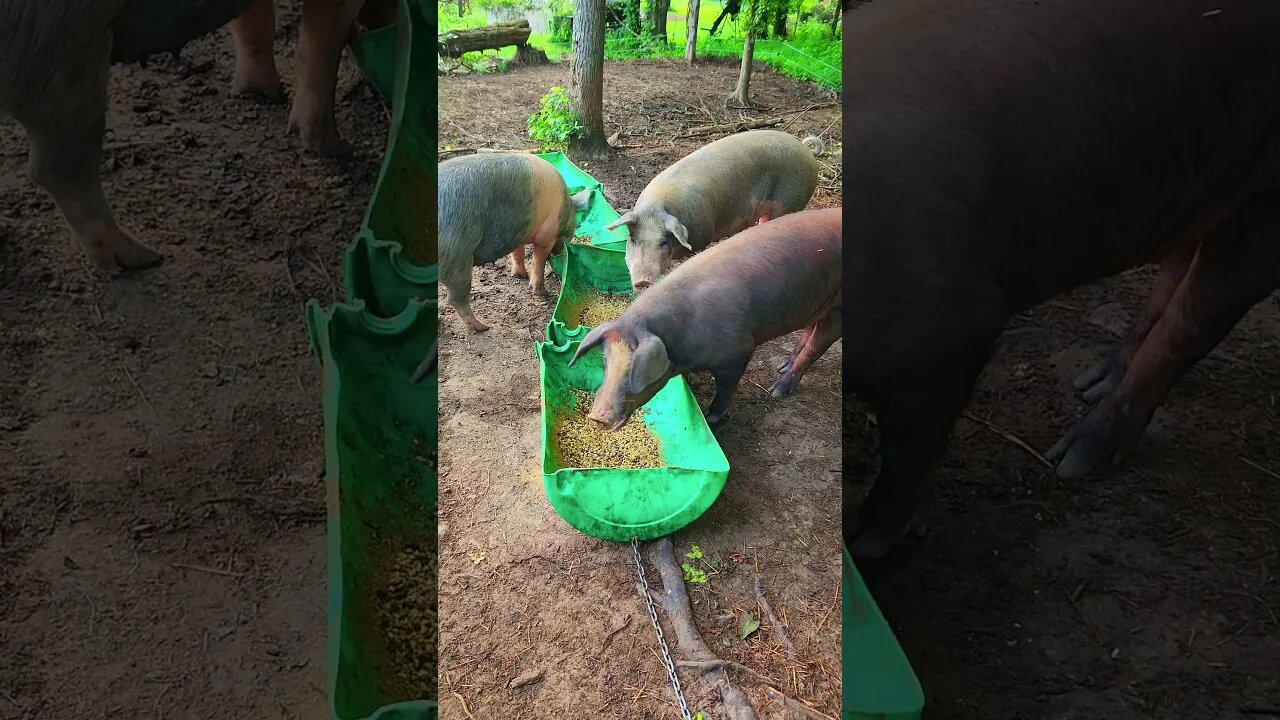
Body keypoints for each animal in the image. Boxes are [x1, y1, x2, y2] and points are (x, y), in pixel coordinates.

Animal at [437, 152, 591, 333]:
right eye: (576, 225)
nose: (561, 251)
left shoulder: (518, 232)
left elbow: (518, 253)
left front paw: (519, 275)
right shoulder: (547, 235)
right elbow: (538, 261)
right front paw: (540, 292)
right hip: (456, 256)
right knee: (456, 297)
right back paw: (483, 327)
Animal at [570, 207, 839, 427]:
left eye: (634, 368)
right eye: (606, 362)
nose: (596, 417)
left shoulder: (738, 351)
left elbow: (724, 391)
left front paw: (712, 419)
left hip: (838, 308)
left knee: (816, 347)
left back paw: (777, 390)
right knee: (809, 330)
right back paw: (782, 365)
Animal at [601, 127, 819, 289]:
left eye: (663, 242)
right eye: (632, 239)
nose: (642, 281)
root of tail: (805, 148)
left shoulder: (702, 238)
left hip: (792, 202)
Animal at [844, 0, 1280, 561]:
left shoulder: (946, 334)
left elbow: (908, 452)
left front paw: (866, 542)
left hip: (1269, 192)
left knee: (1195, 322)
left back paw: (1071, 461)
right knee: (1176, 269)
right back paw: (1091, 383)